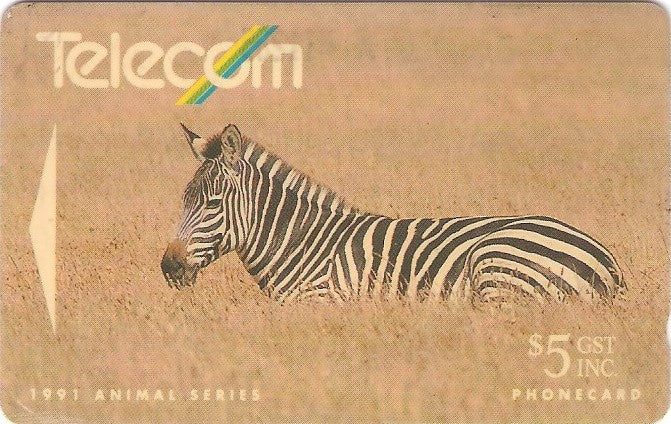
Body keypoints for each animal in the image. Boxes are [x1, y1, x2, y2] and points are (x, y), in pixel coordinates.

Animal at [161, 123, 626, 304]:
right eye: (184, 199)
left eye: (212, 204)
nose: (170, 268)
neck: (302, 243)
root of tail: (607, 262)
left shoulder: (321, 304)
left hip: (497, 269)